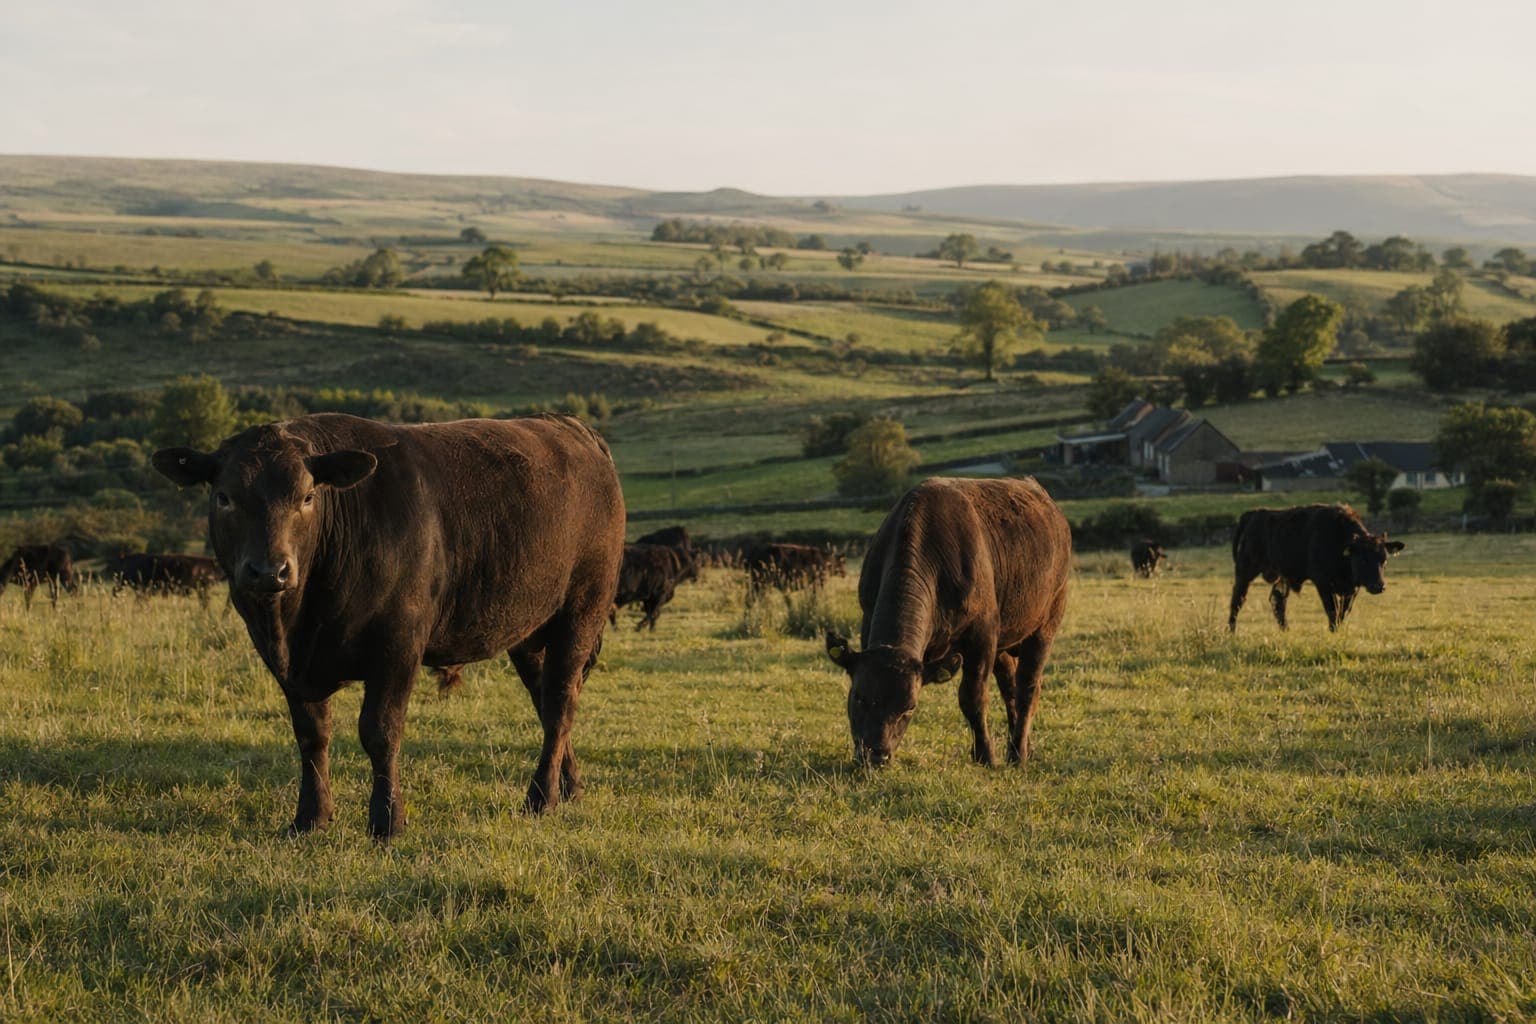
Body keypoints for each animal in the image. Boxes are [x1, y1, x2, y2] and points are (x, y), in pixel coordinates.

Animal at [152, 412, 625, 838]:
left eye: (306, 497)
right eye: (224, 497)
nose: (270, 571)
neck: (298, 623)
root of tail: (571, 426)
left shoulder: (398, 646)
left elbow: (380, 731)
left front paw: (387, 821)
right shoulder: (286, 665)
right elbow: (312, 736)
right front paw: (310, 818)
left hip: (582, 611)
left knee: (560, 702)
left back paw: (541, 797)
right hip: (527, 632)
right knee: (547, 702)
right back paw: (569, 787)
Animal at [824, 477, 1071, 769]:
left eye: (910, 707)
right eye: (858, 697)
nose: (877, 755)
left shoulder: (982, 635)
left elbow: (973, 697)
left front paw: (985, 755)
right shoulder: (868, 619)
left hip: (1046, 624)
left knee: (1028, 687)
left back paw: (1018, 754)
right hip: (1004, 642)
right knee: (1010, 686)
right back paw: (1025, 747)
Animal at [1228, 503, 1405, 633]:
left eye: (1384, 560)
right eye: (1363, 559)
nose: (1379, 586)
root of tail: (1254, 513)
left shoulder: (1353, 589)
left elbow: (1343, 612)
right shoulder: (1323, 583)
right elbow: (1332, 611)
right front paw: (1333, 632)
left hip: (1282, 576)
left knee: (1277, 600)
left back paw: (1286, 631)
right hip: (1246, 570)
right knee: (1238, 599)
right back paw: (1231, 632)